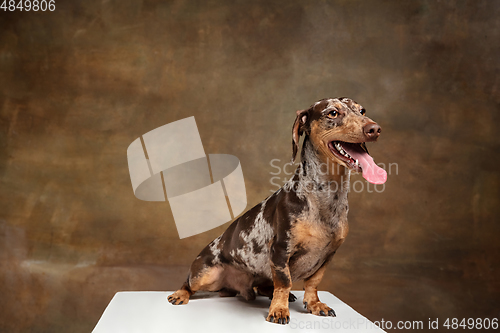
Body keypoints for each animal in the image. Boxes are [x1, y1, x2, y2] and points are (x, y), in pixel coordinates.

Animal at [168, 96, 386, 324]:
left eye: (362, 110)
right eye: (332, 113)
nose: (374, 129)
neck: (325, 198)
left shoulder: (328, 256)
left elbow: (313, 282)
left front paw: (314, 304)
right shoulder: (281, 249)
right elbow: (284, 281)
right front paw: (279, 310)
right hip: (204, 274)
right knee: (188, 283)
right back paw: (180, 294)